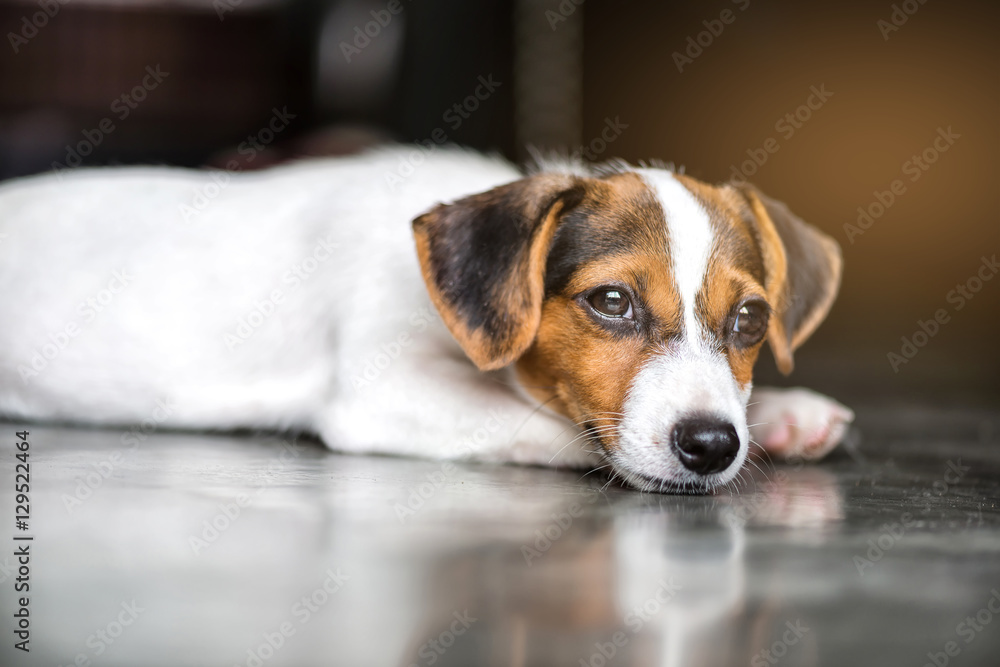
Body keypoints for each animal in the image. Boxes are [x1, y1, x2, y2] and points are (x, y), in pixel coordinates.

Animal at [0, 151, 852, 496]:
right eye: (612, 301)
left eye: (750, 318)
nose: (711, 445)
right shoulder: (386, 390)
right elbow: (554, 427)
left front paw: (783, 413)